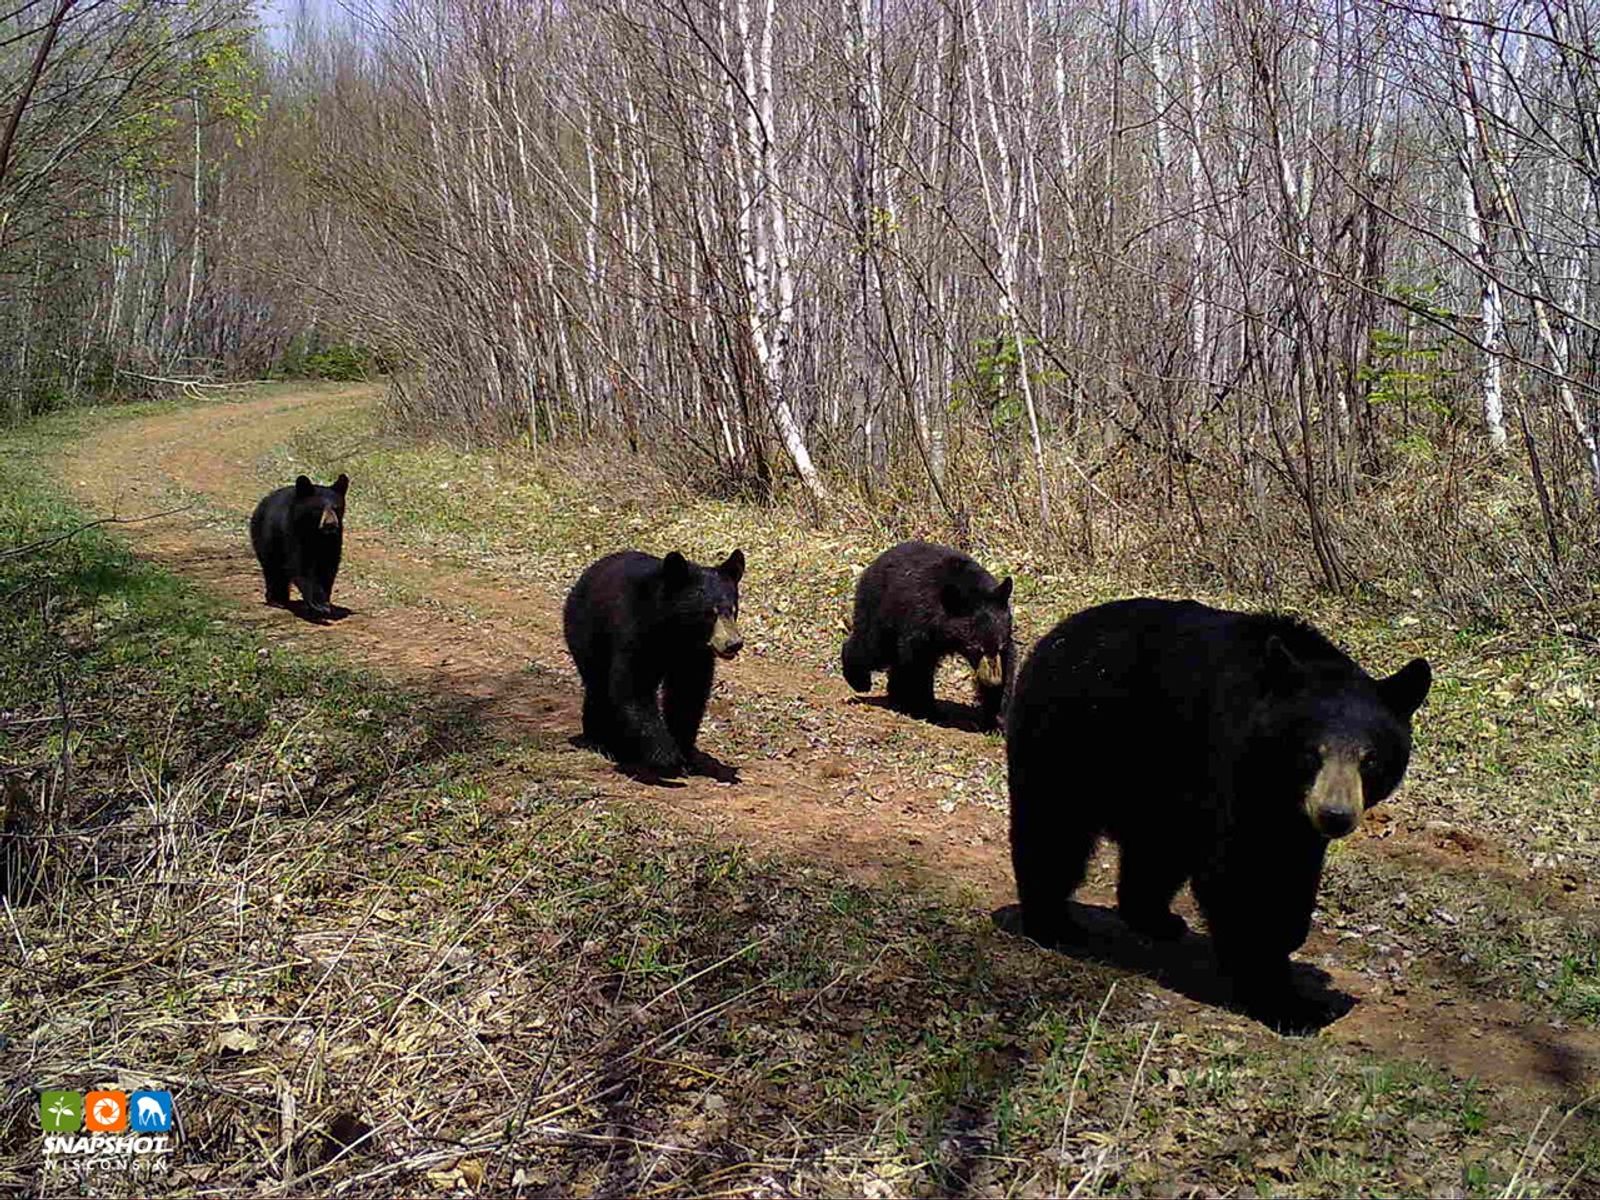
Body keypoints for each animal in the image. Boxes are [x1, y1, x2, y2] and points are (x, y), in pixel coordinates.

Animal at [249, 474, 349, 618]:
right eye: (318, 508)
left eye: (337, 507)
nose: (330, 524)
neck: (316, 532)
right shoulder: (292, 530)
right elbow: (301, 564)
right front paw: (318, 604)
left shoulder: (333, 538)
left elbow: (328, 565)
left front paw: (325, 603)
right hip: (265, 536)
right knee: (272, 568)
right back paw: (277, 600)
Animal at [563, 548, 745, 777]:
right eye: (708, 614)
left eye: (733, 609)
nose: (734, 644)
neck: (676, 631)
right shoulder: (634, 630)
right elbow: (633, 685)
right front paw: (666, 757)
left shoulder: (695, 654)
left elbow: (688, 692)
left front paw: (684, 753)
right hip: (586, 632)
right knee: (599, 686)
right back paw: (603, 740)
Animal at [841, 541, 1014, 728]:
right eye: (975, 647)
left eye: (1000, 645)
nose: (993, 680)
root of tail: (876, 562)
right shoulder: (920, 622)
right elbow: (918, 665)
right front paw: (925, 709)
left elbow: (1008, 664)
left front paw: (996, 717)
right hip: (880, 610)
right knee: (873, 647)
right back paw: (860, 681)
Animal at [1005, 598, 1431, 1032]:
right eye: (1312, 753)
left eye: (1370, 758)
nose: (1336, 815)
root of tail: (1053, 638)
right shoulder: (1233, 769)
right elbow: (1237, 877)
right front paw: (1289, 1003)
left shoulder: (1291, 815)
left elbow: (1292, 867)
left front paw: (1292, 937)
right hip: (1072, 741)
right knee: (1054, 833)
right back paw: (1053, 924)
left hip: (1156, 785)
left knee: (1156, 850)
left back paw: (1155, 919)